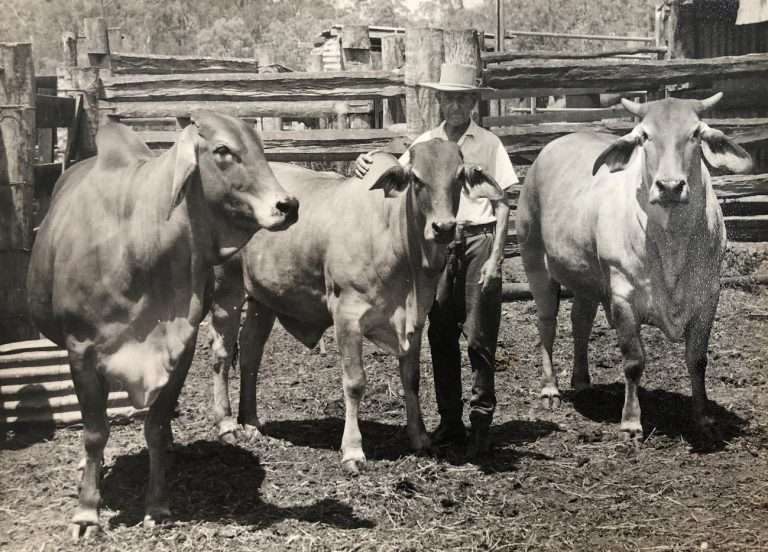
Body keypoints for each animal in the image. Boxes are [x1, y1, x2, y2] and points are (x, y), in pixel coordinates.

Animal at [26, 113, 296, 540]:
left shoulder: (179, 347)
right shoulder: (80, 351)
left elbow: (154, 427)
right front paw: (87, 512)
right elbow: (95, 433)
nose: (288, 205)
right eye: (222, 149)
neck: (140, 247)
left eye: (260, 146)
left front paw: (157, 504)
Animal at [207, 140, 504, 472]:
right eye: (416, 179)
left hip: (263, 297)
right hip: (226, 291)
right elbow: (355, 383)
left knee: (250, 352)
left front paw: (420, 438)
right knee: (222, 353)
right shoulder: (347, 317)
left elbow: (411, 380)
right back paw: (227, 425)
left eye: (459, 177)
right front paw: (352, 450)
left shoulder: (415, 323)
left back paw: (251, 422)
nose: (443, 227)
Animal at [516, 91, 752, 444]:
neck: (671, 244)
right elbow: (634, 362)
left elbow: (697, 360)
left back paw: (582, 380)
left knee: (580, 322)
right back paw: (550, 389)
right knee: (547, 325)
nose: (670, 186)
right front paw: (630, 422)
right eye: (644, 136)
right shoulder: (623, 298)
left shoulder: (708, 298)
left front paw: (703, 418)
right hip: (535, 262)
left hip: (586, 278)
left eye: (695, 134)